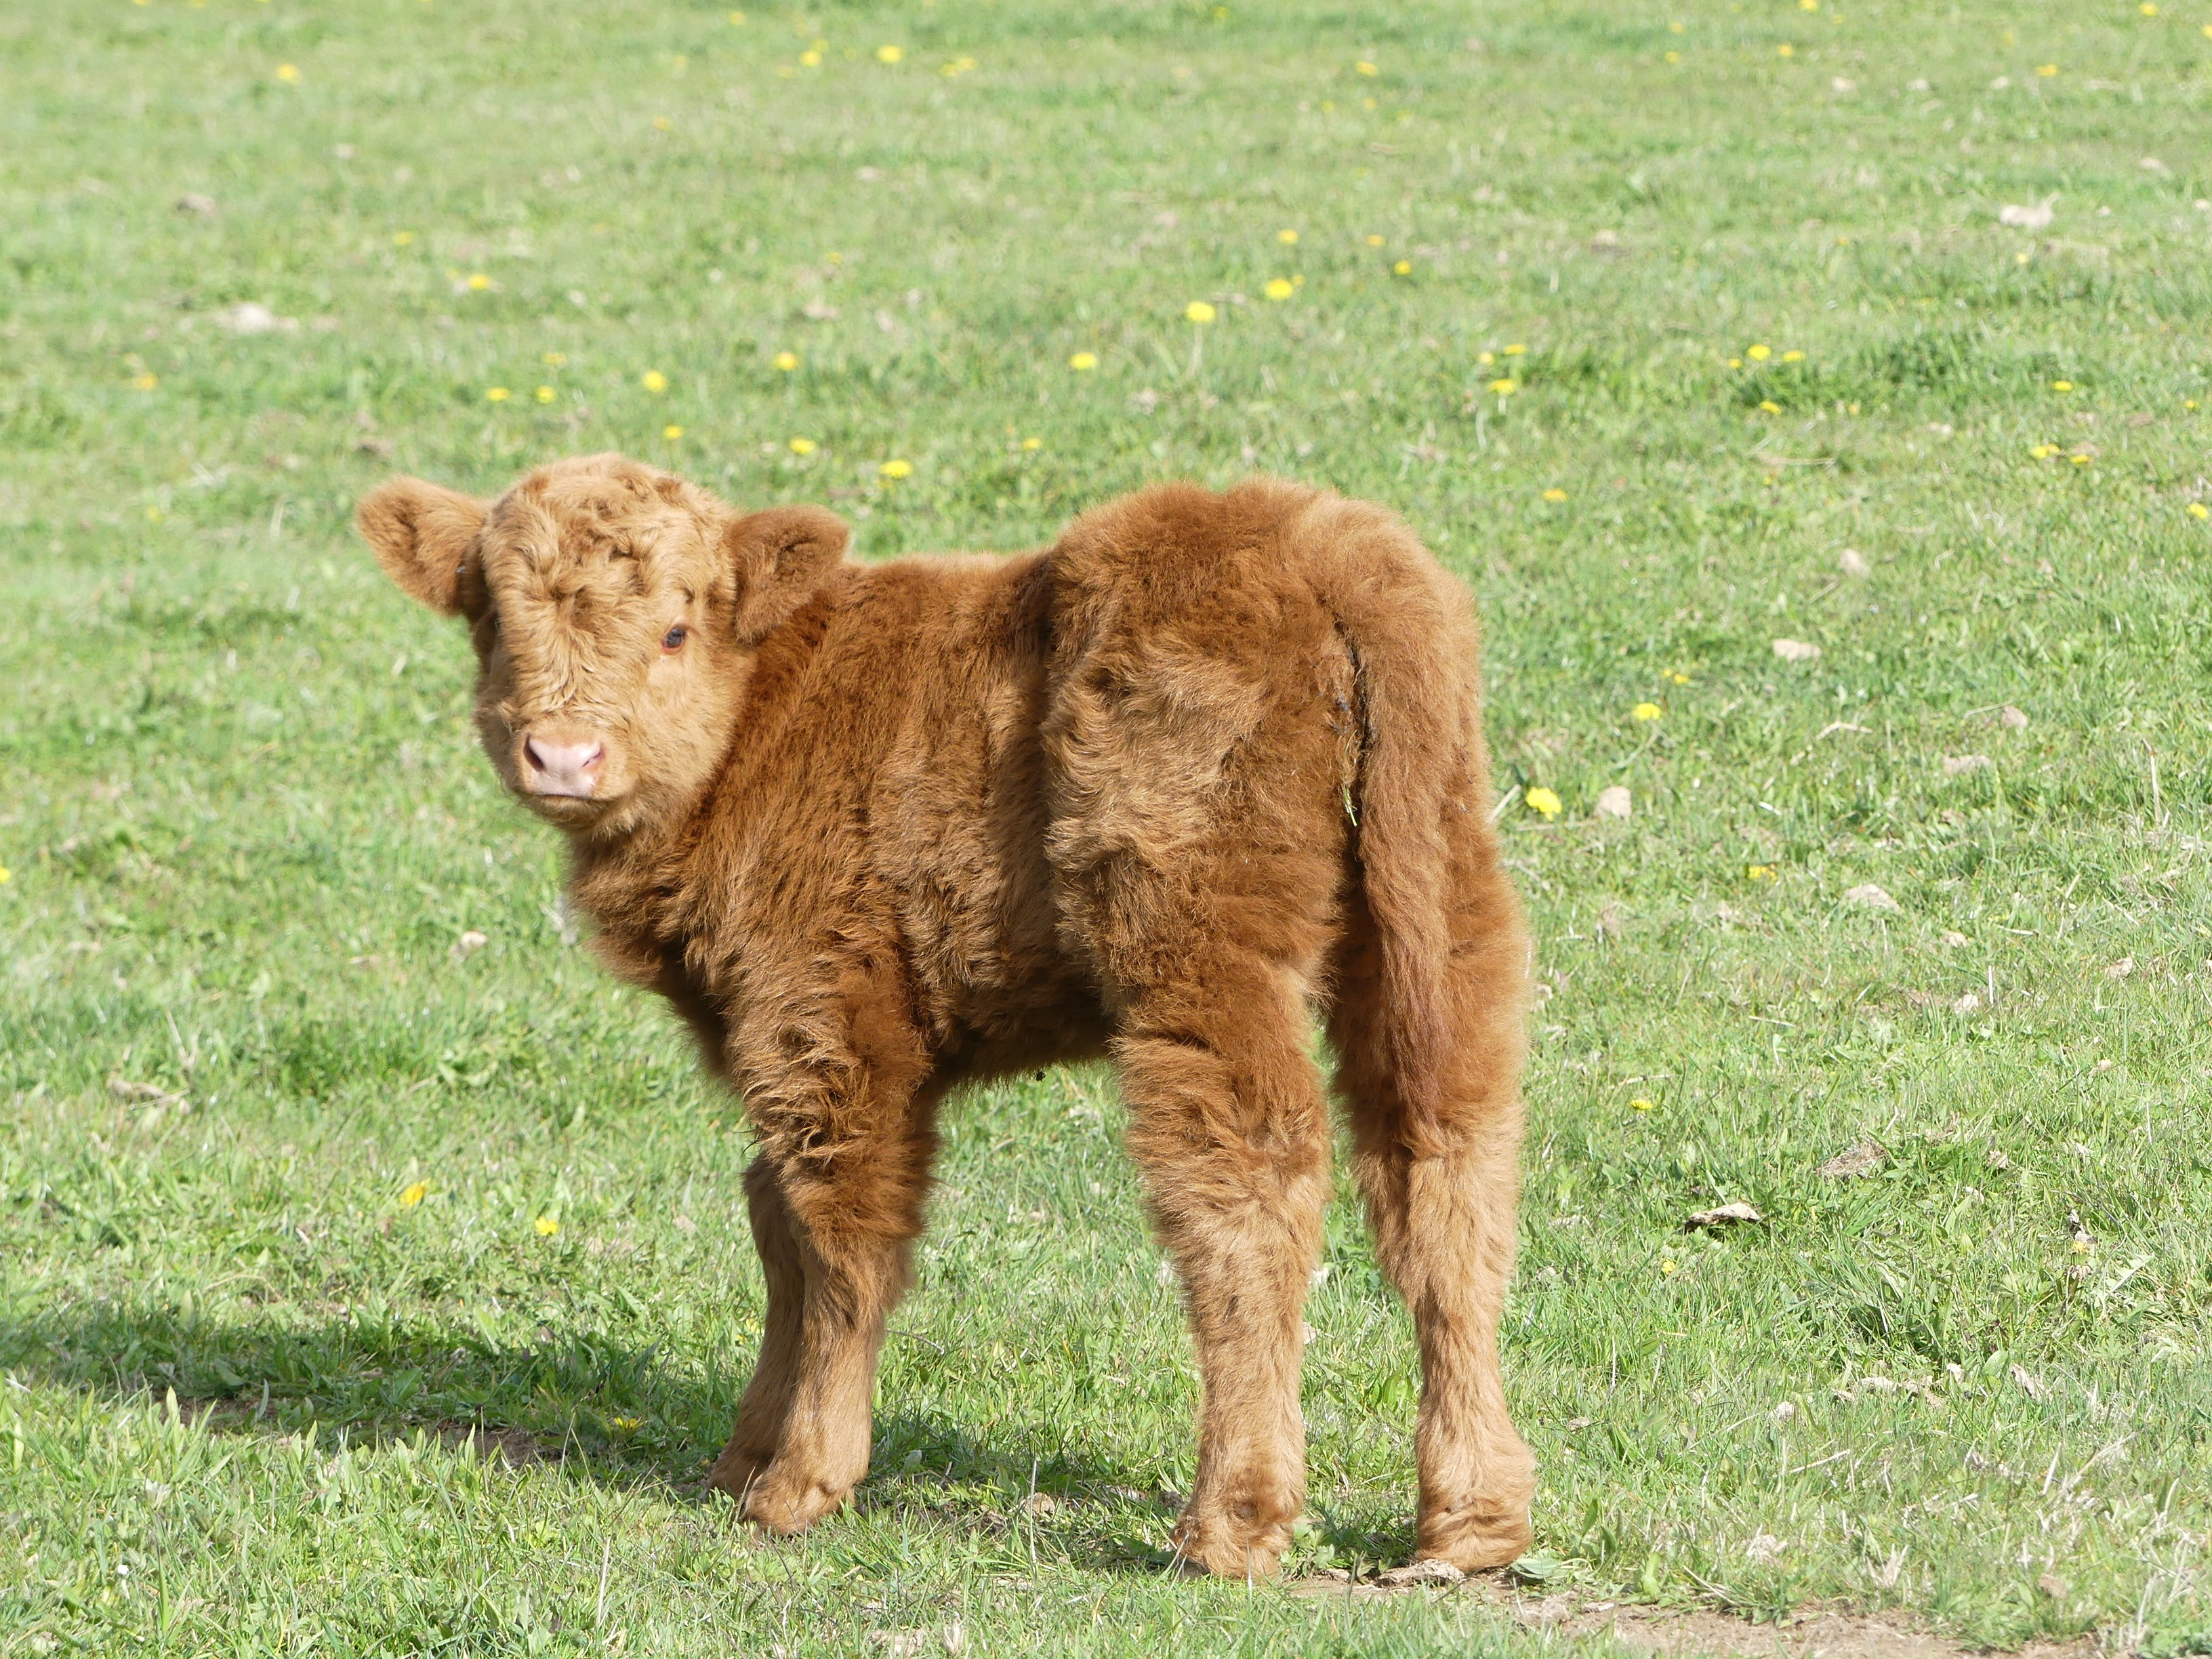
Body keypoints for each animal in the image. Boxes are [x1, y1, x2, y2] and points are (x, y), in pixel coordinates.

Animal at [363, 455, 1539, 1584]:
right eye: (495, 623)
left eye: (675, 629)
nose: (563, 756)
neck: (769, 710)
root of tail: (1321, 543)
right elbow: (775, 1219)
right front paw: (743, 1458)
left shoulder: (824, 1024)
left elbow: (840, 1238)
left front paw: (801, 1482)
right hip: (1441, 919)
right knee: (1445, 1168)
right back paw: (1471, 1523)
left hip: (1197, 959)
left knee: (1251, 1191)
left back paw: (1231, 1527)